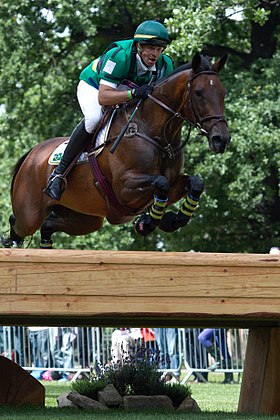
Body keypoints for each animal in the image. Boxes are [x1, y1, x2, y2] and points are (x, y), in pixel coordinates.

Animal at [1, 52, 230, 249]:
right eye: (199, 93)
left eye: (223, 93)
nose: (221, 139)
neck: (154, 132)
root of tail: (31, 154)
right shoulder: (124, 188)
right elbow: (160, 183)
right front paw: (148, 222)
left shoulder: (173, 182)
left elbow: (195, 183)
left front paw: (173, 219)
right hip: (30, 214)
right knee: (18, 225)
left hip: (85, 219)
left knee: (48, 225)